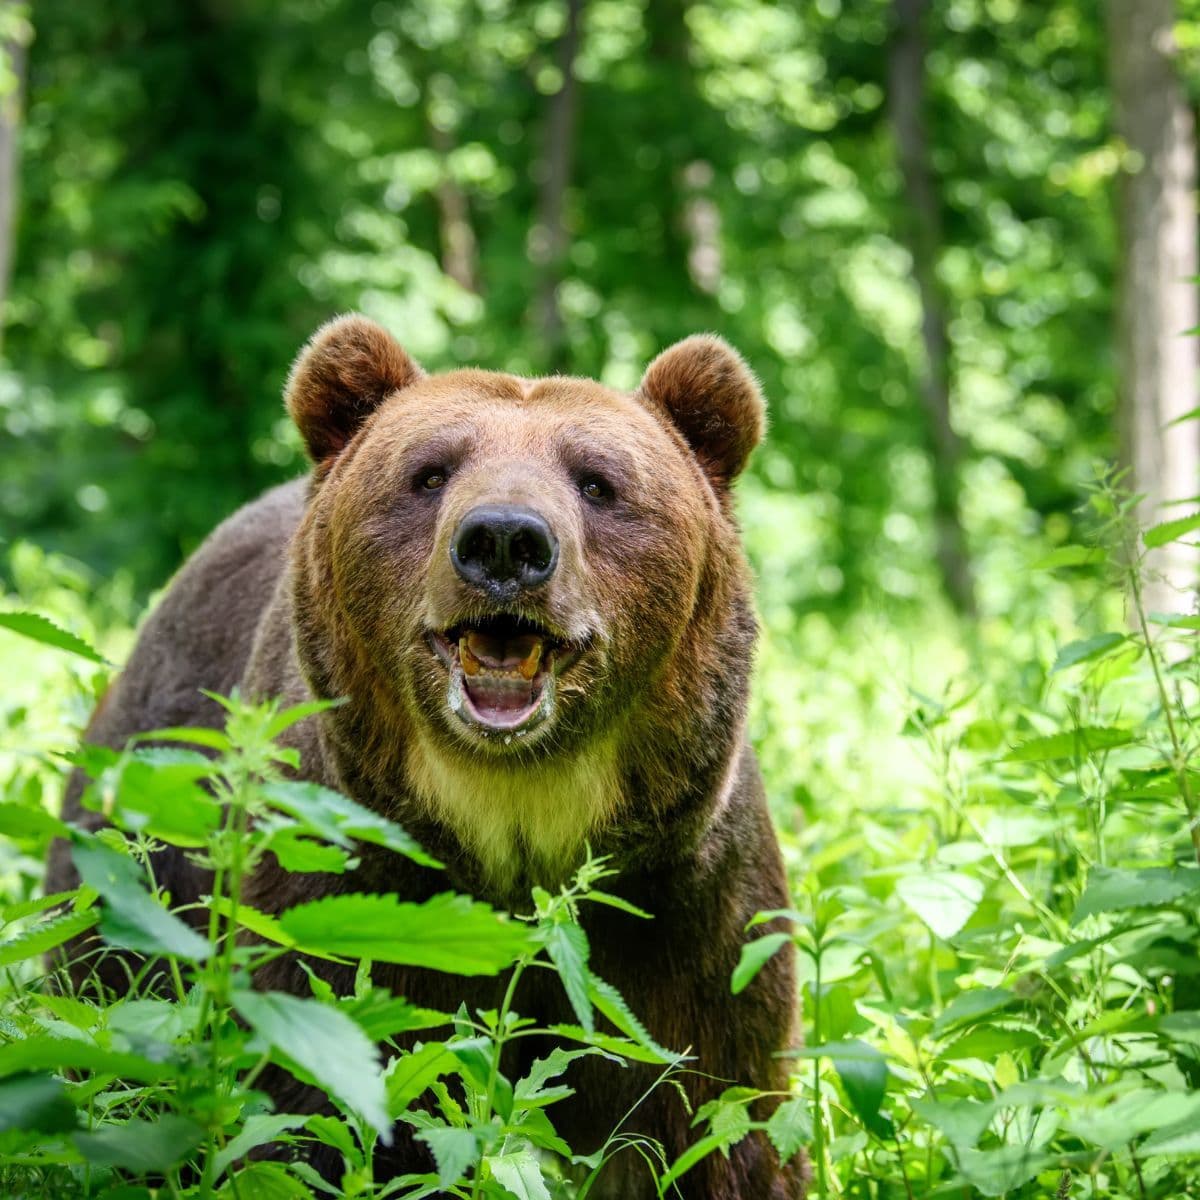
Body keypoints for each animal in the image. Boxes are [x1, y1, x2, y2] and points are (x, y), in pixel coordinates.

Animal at [47, 315, 804, 1199]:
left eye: (597, 482)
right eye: (431, 472)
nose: (505, 540)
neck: (516, 819)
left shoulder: (682, 906)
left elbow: (717, 1117)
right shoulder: (353, 886)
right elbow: (308, 1108)